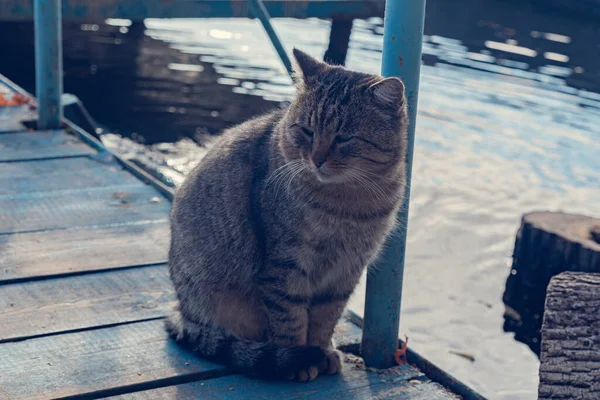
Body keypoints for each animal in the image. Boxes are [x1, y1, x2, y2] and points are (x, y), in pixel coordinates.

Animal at [165, 49, 408, 382]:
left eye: (343, 138)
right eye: (307, 130)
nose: (317, 159)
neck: (348, 204)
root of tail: (181, 309)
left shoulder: (346, 270)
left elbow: (325, 318)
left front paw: (323, 352)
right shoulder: (285, 266)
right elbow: (290, 319)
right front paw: (302, 360)